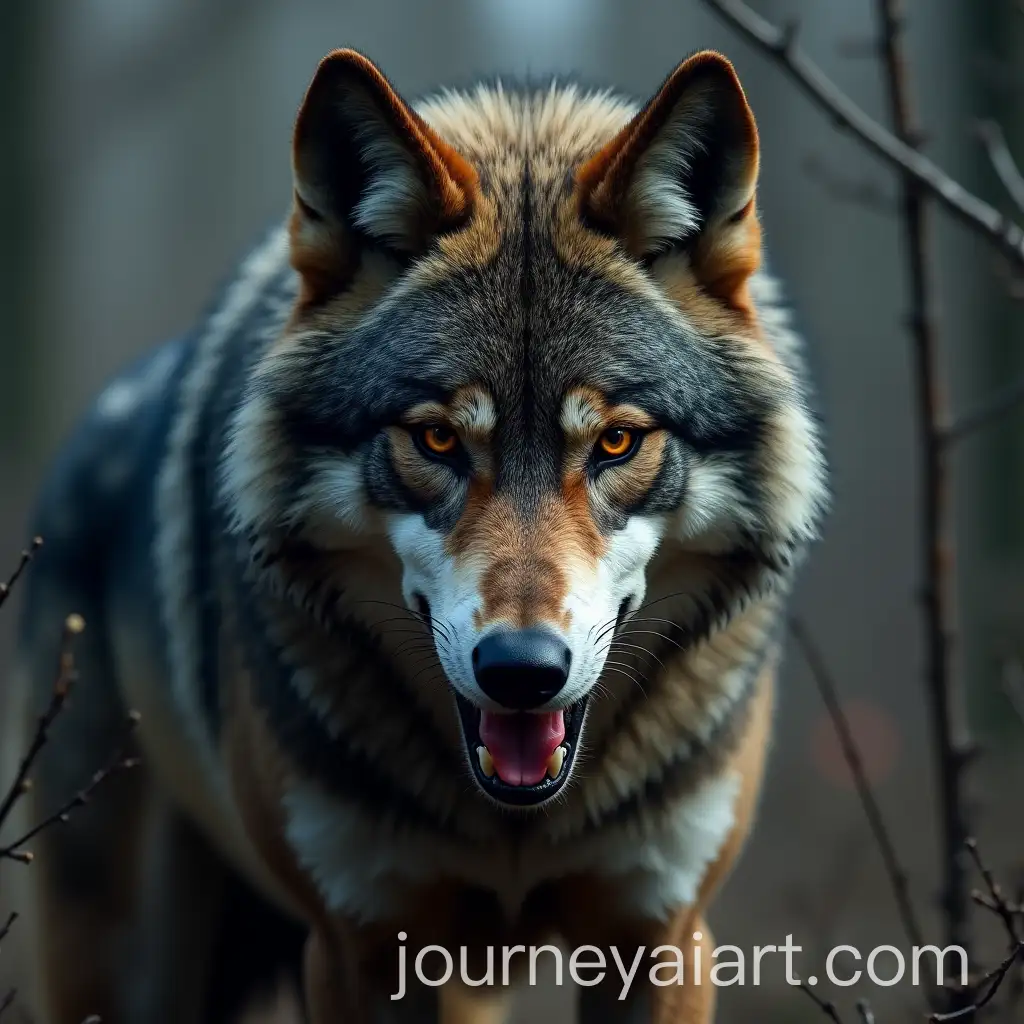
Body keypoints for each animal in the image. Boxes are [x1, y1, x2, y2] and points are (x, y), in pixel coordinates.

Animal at [5, 45, 827, 1024]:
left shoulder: (659, 936)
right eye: (436, 440)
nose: (522, 671)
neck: (514, 828)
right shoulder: (359, 945)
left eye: (616, 442)